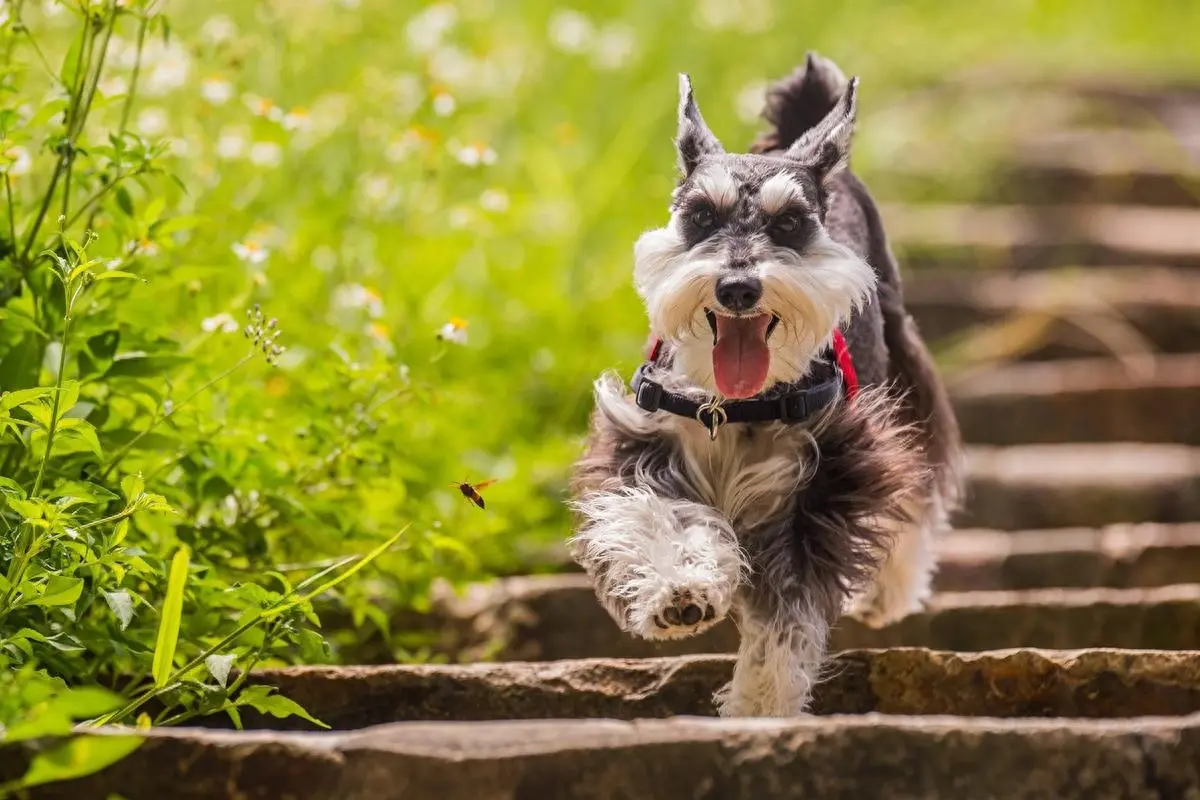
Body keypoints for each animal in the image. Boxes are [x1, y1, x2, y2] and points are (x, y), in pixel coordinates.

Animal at [564, 53, 964, 714]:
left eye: (791, 223)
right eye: (700, 214)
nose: (737, 288)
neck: (735, 405)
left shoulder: (823, 485)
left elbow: (786, 615)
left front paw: (760, 705)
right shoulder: (643, 445)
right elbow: (661, 517)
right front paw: (679, 591)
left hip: (904, 371)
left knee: (919, 485)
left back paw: (891, 591)